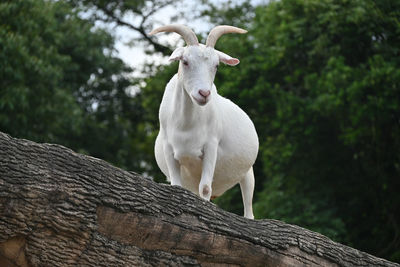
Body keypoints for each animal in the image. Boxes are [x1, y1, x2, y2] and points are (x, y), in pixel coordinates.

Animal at [151, 24, 260, 220]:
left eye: (216, 65)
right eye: (185, 62)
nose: (204, 93)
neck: (186, 125)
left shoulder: (211, 146)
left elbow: (206, 188)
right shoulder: (169, 149)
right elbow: (177, 186)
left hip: (248, 172)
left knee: (248, 204)